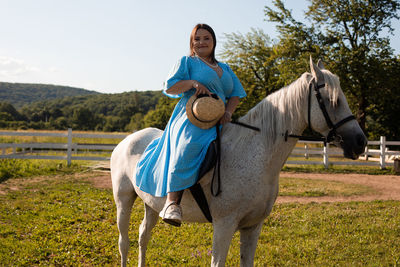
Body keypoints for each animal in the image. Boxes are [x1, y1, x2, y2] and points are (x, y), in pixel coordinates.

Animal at [111, 58, 368, 267]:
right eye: (332, 100)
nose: (360, 142)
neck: (255, 154)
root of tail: (128, 140)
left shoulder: (252, 226)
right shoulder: (224, 226)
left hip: (151, 204)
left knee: (143, 236)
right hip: (124, 199)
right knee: (124, 242)